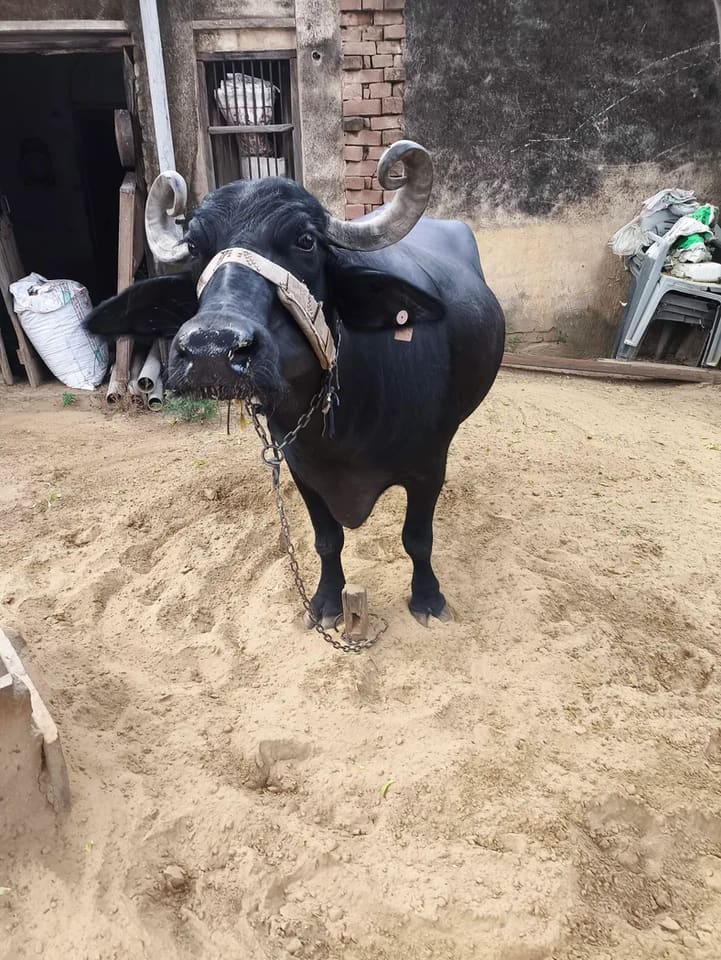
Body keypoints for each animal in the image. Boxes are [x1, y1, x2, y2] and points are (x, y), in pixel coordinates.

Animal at [85, 141, 504, 633]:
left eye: (305, 241)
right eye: (194, 246)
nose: (212, 349)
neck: (343, 424)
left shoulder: (428, 468)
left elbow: (417, 538)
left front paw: (427, 597)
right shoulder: (300, 466)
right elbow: (327, 539)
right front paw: (326, 601)